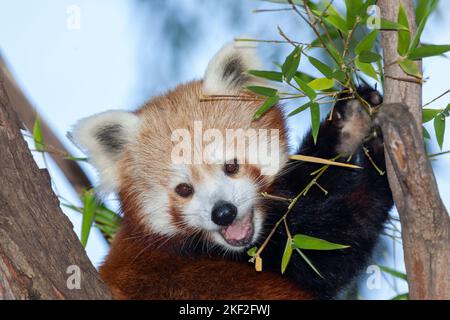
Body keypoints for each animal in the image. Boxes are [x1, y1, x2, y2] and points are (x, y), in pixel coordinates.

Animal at [72, 41, 392, 298]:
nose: (223, 213)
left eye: (231, 165)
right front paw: (381, 174)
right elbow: (335, 246)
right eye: (184, 189)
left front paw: (347, 122)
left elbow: (311, 177)